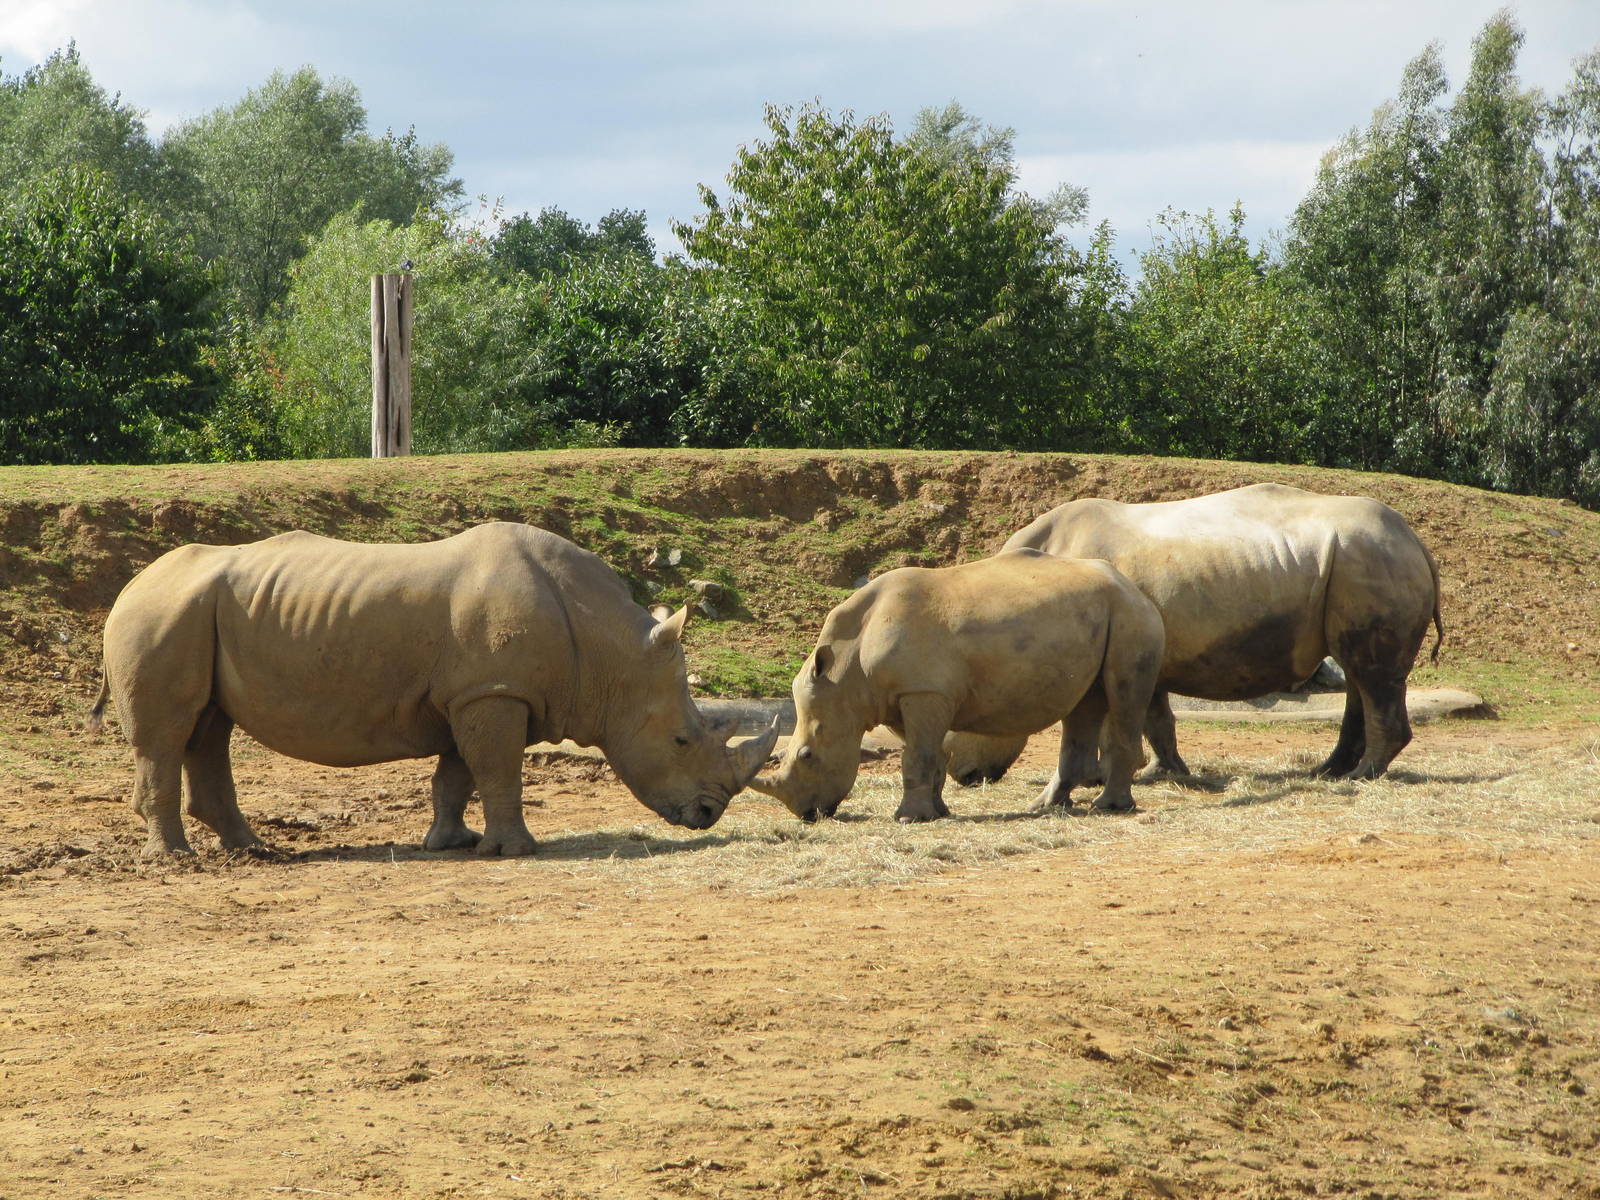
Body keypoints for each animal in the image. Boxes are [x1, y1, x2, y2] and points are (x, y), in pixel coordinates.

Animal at [87, 522, 778, 858]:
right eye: (683, 740)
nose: (708, 814)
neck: (609, 652)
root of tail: (128, 586)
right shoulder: (494, 694)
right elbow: (498, 771)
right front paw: (515, 851)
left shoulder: (475, 693)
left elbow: (459, 774)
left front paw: (454, 844)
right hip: (163, 613)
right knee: (169, 734)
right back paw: (175, 859)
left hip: (191, 613)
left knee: (209, 727)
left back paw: (252, 850)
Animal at [747, 550, 1165, 822]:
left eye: (807, 756)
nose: (806, 814)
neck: (846, 677)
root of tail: (1134, 586)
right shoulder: (907, 697)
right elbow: (931, 755)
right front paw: (937, 812)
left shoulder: (923, 692)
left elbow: (918, 756)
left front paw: (908, 819)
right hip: (1100, 615)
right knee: (1083, 707)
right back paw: (1046, 807)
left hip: (1129, 616)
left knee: (1124, 696)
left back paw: (1110, 807)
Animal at [946, 484, 1443, 787]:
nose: (964, 776)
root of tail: (1416, 541)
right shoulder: (1143, 653)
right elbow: (1155, 719)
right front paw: (1162, 773)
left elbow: (1124, 717)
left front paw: (1109, 776)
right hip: (1361, 561)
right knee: (1357, 673)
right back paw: (1329, 773)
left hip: (1371, 559)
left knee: (1371, 674)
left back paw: (1363, 776)